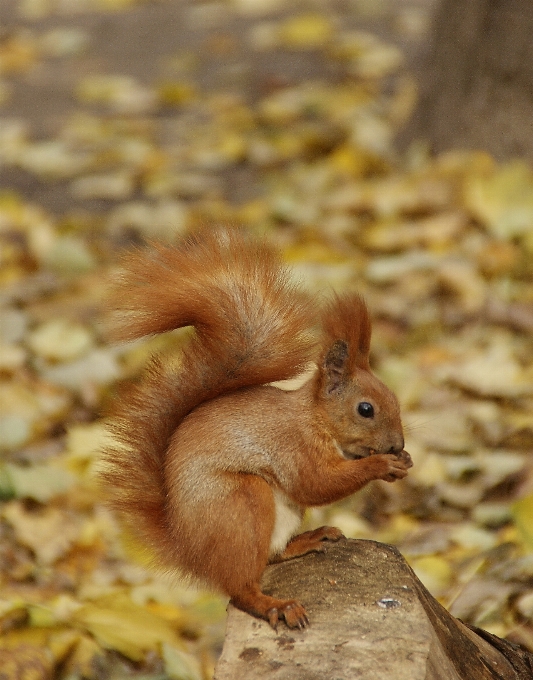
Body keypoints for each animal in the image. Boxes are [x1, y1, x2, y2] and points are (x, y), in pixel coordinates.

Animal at [102, 226, 414, 628]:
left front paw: (401, 463)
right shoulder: (293, 446)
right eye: (366, 409)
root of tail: (189, 550)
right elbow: (315, 483)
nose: (397, 444)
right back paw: (276, 605)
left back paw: (311, 540)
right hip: (242, 505)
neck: (315, 420)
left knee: (272, 556)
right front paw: (382, 464)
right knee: (242, 588)